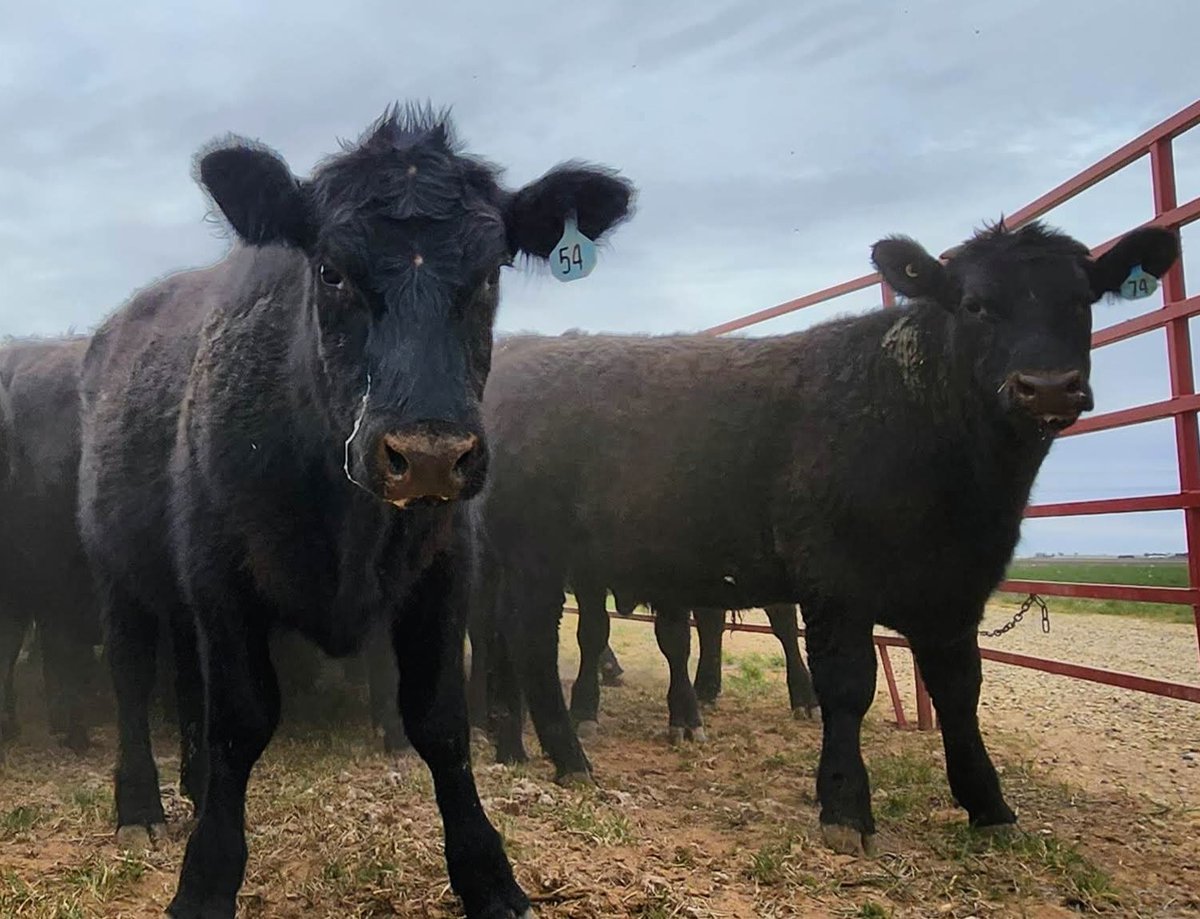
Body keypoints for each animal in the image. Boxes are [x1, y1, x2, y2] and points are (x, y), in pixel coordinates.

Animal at [77, 104, 634, 919]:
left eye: (490, 272)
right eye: (331, 270)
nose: (429, 452)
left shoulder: (445, 569)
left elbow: (440, 720)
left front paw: (490, 876)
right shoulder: (221, 572)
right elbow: (240, 720)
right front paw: (205, 879)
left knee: (184, 676)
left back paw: (192, 787)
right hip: (115, 567)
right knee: (129, 672)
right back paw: (141, 804)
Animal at [474, 220, 1178, 856]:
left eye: (1083, 300)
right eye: (976, 304)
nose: (1048, 387)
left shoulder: (956, 592)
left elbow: (960, 692)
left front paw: (989, 805)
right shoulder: (835, 582)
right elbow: (846, 687)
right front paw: (845, 808)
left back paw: (515, 743)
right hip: (536, 554)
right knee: (531, 641)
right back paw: (568, 757)